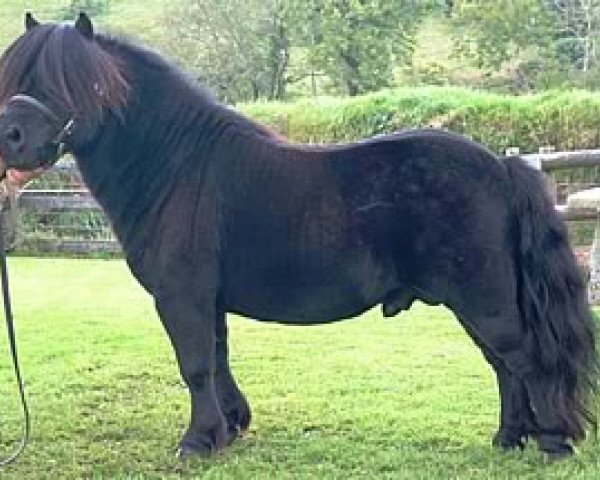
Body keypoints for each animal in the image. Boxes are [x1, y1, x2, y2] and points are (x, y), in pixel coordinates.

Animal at [0, 13, 596, 460]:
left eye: (66, 80)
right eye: (13, 75)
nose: (11, 137)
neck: (177, 166)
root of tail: (501, 166)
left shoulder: (180, 296)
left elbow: (195, 365)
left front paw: (197, 442)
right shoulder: (206, 300)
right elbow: (217, 358)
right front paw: (230, 427)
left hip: (484, 297)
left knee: (525, 359)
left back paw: (551, 442)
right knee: (504, 364)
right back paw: (509, 438)